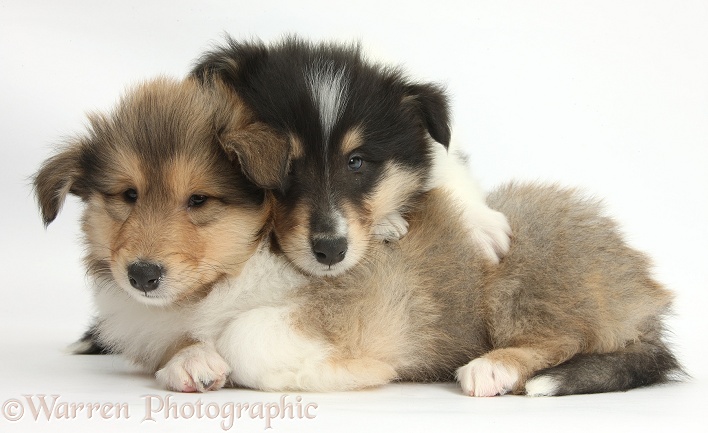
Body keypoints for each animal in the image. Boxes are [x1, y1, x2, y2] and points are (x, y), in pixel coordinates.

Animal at [191, 35, 512, 276]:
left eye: (355, 161)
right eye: (281, 162)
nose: (331, 250)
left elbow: (450, 169)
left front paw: (481, 228)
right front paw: (389, 223)